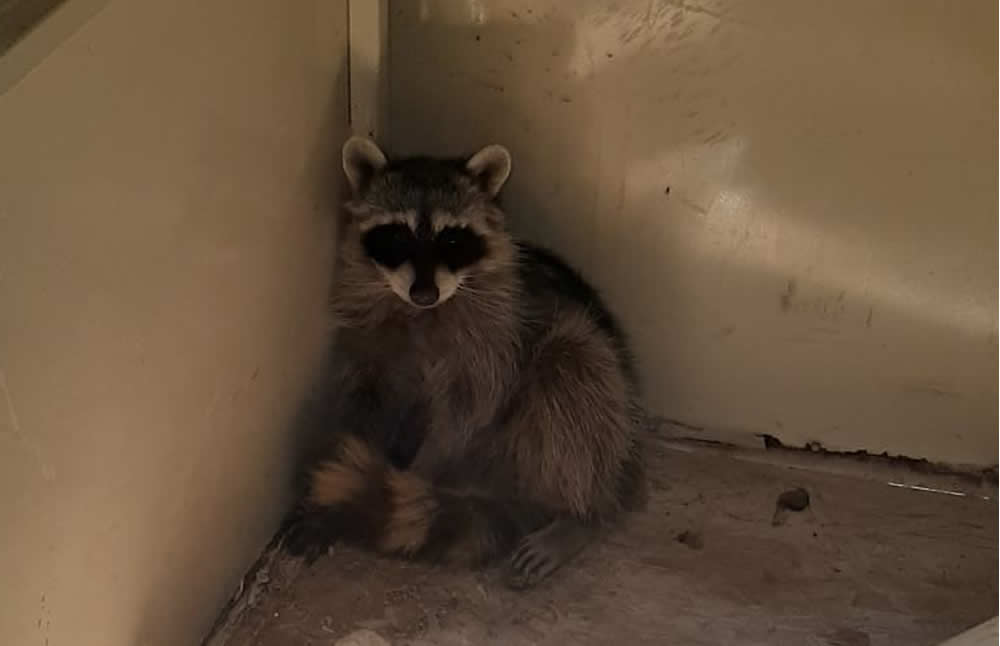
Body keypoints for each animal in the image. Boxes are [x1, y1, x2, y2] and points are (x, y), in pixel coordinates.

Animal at [288, 138, 648, 592]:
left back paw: (580, 513)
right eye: (397, 236)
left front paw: (419, 475)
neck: (419, 312)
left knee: (573, 372)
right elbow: (362, 402)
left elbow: (466, 411)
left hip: (588, 379)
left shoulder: (495, 338)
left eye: (453, 240)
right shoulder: (366, 339)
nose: (424, 293)